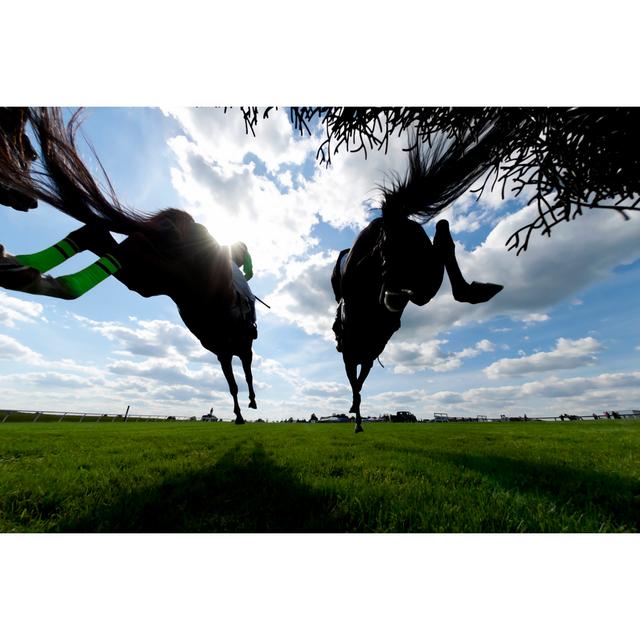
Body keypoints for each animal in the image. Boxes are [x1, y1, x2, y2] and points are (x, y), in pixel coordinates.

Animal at [1, 109, 260, 424]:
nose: (247, 270)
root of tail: (176, 224)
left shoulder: (226, 350)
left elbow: (237, 379)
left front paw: (243, 408)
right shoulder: (235, 349)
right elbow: (241, 379)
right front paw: (246, 407)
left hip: (150, 274)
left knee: (94, 234)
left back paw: (24, 269)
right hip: (161, 275)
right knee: (107, 246)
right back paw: (31, 274)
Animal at [332, 125, 508, 432]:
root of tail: (389, 221)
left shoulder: (356, 356)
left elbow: (357, 383)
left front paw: (356, 415)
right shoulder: (361, 354)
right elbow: (358, 383)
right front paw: (356, 413)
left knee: (416, 273)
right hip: (421, 268)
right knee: (440, 247)